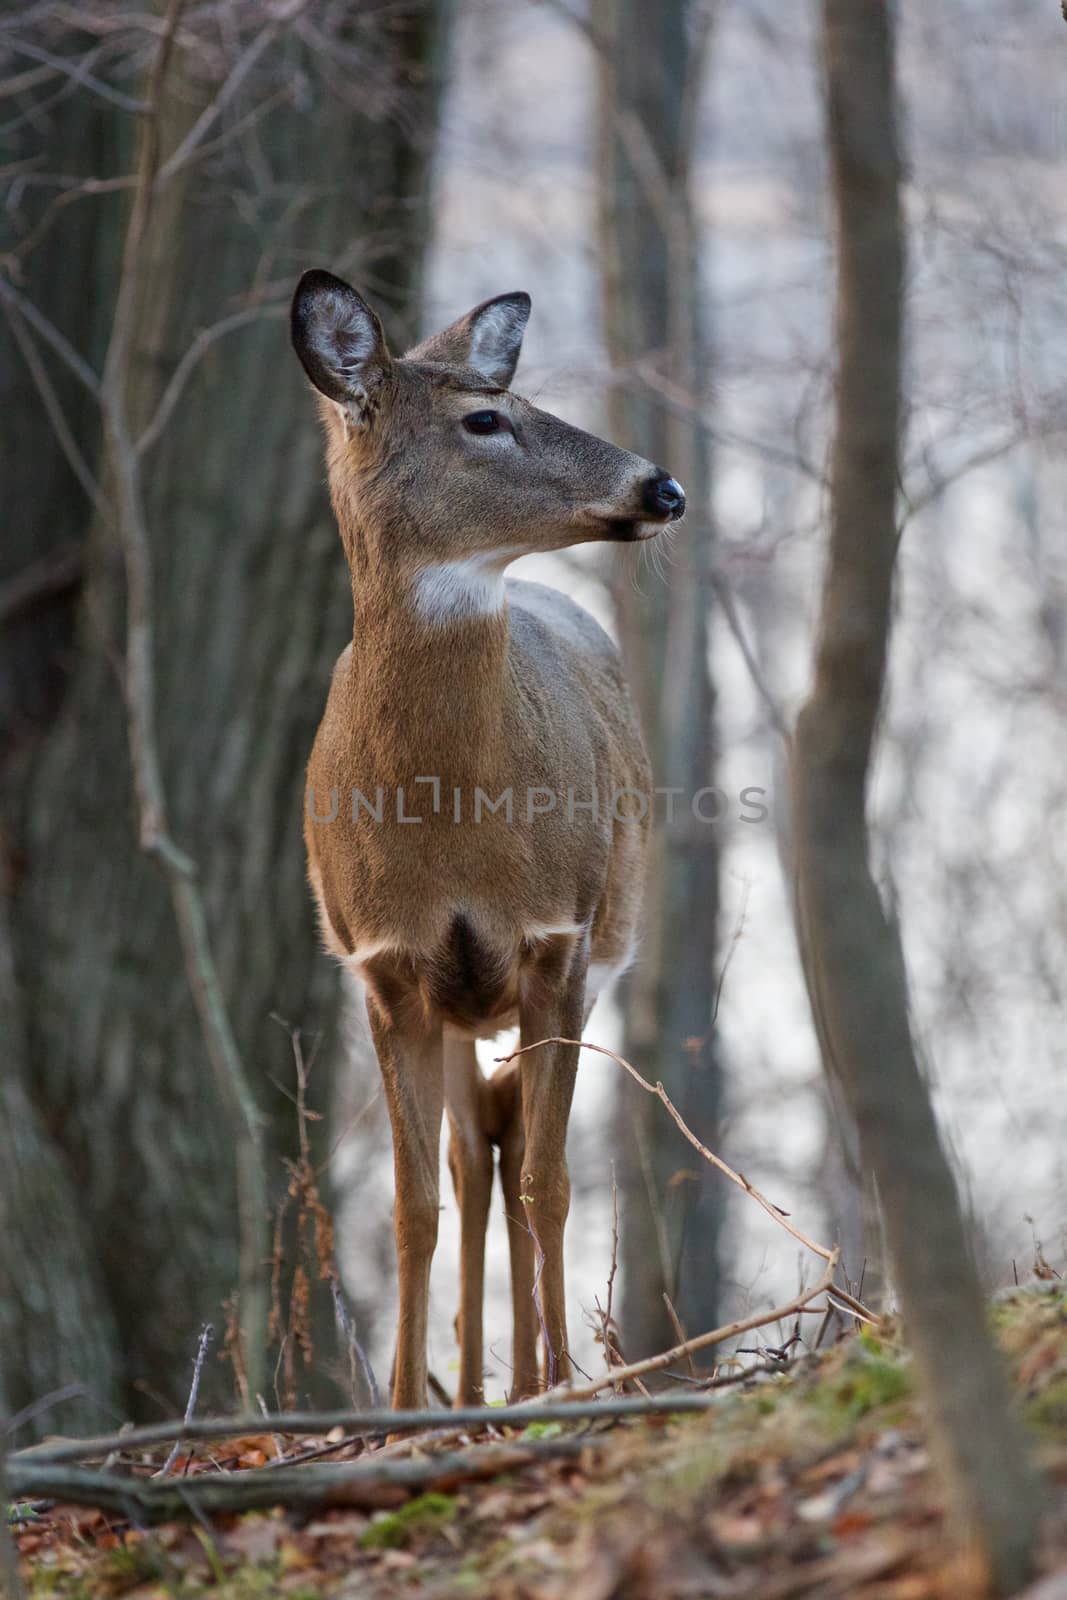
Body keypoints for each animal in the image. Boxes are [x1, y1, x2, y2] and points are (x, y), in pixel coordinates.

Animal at [289, 268, 684, 1408]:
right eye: (484, 418)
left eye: (513, 396)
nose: (664, 489)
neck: (449, 820)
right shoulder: (385, 964)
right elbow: (413, 1203)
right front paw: (405, 1409)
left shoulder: (558, 937)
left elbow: (551, 1182)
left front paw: (554, 1386)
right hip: (460, 1003)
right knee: (475, 1160)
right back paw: (469, 1393)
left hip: (578, 954)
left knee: (510, 1155)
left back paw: (519, 1384)